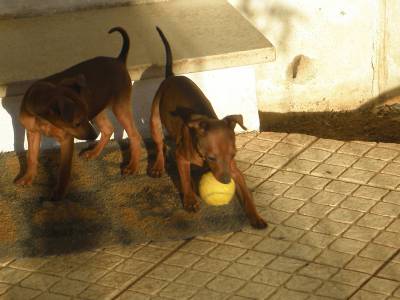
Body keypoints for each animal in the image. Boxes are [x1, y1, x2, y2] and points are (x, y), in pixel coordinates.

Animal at [17, 27, 142, 200]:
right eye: (77, 122)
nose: (93, 136)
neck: (45, 121)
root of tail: (119, 60)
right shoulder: (32, 133)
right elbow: (31, 157)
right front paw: (28, 178)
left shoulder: (66, 139)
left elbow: (64, 170)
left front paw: (59, 193)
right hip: (98, 109)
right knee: (108, 129)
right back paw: (93, 153)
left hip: (120, 107)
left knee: (134, 135)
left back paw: (133, 166)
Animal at [148, 27, 268, 230]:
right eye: (212, 157)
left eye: (234, 155)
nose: (226, 181)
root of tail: (171, 76)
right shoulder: (182, 157)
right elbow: (184, 179)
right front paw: (190, 200)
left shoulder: (235, 171)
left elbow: (247, 195)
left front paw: (255, 216)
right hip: (154, 119)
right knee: (159, 144)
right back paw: (158, 166)